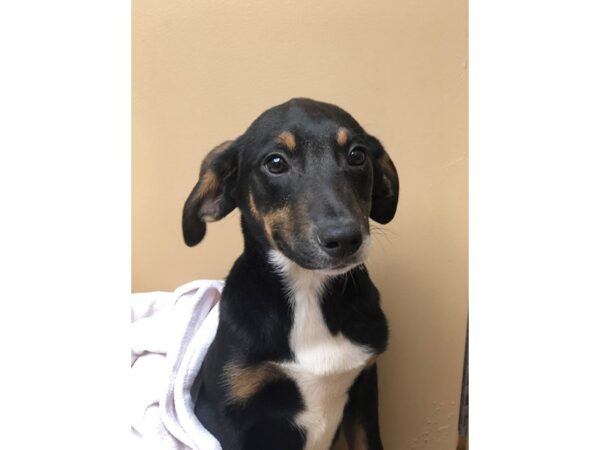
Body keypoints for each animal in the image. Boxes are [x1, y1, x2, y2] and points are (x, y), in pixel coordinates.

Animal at [183, 98, 398, 450]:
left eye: (357, 155)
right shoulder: (229, 414)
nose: (345, 238)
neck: (307, 290)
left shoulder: (365, 389)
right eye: (275, 162)